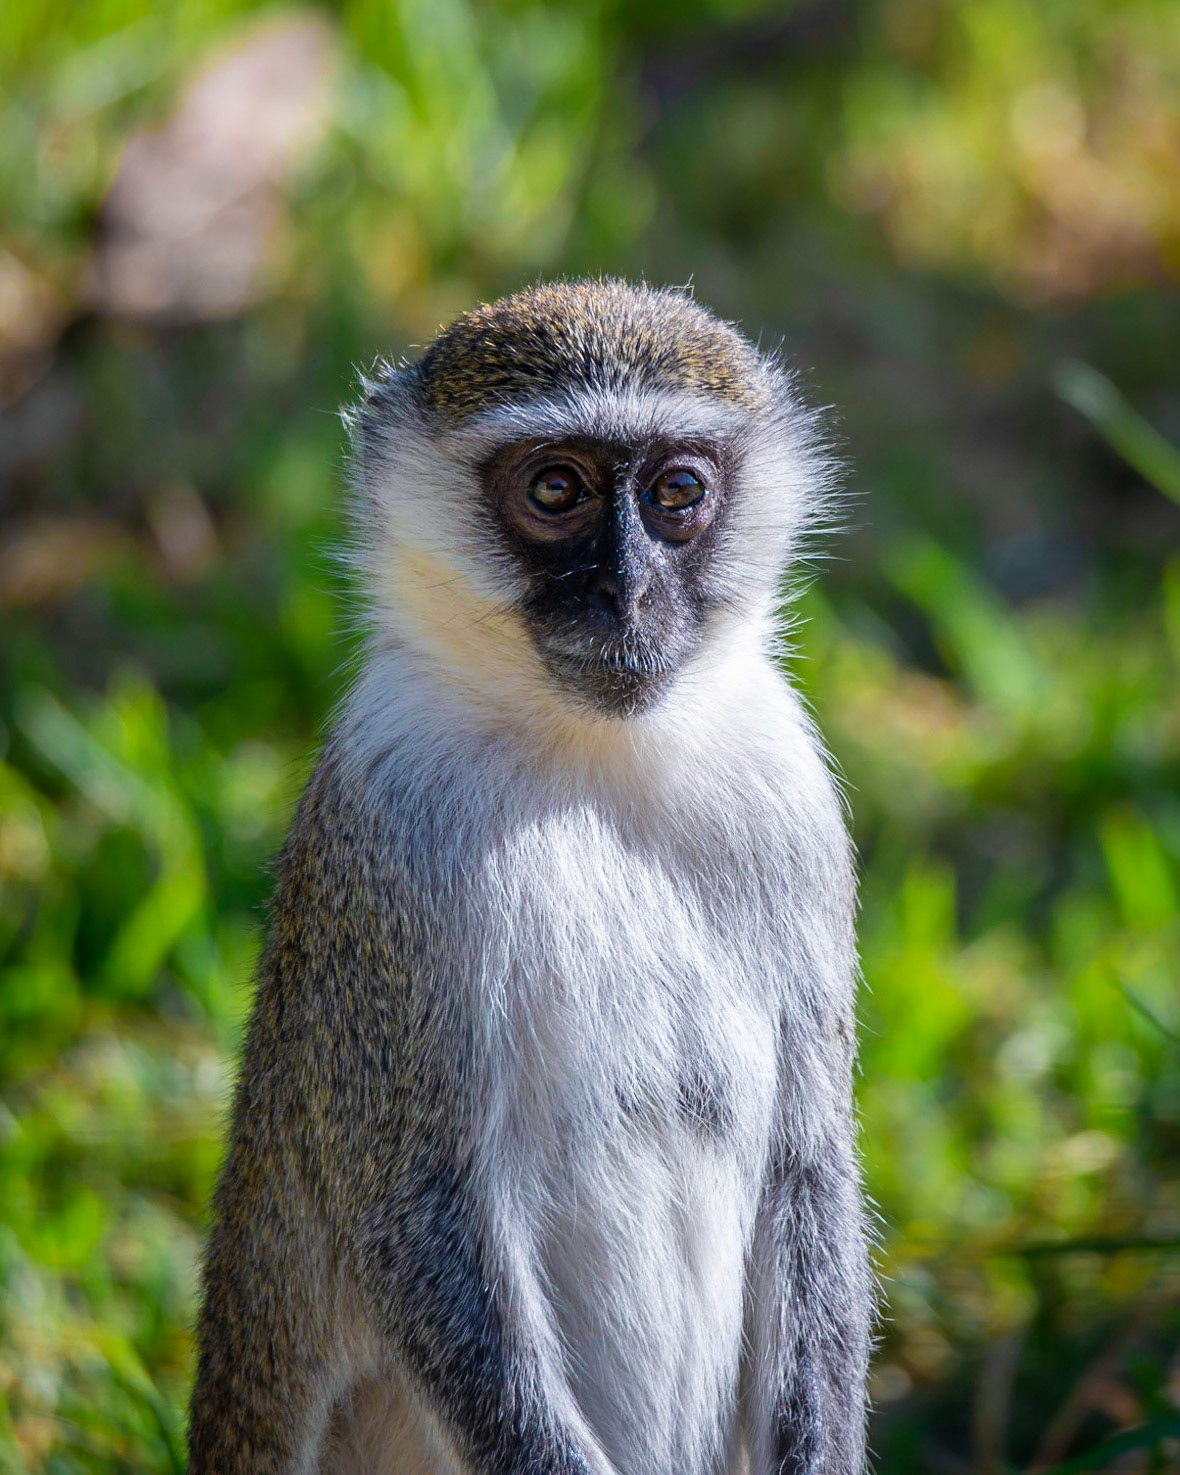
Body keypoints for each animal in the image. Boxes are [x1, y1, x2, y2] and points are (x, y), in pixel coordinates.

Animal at [187, 278, 873, 1475]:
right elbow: (414, 1200)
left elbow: (809, 1161)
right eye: (556, 488)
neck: (593, 754)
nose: (630, 595)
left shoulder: (787, 799)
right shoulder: (394, 837)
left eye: (678, 492)